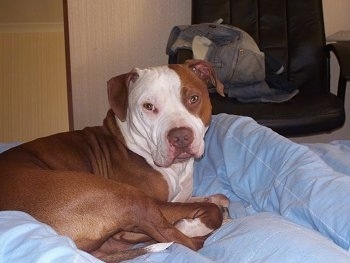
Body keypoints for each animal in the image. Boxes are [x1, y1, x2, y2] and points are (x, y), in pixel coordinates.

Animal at [0, 58, 227, 262]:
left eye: (194, 98)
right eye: (148, 106)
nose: (180, 137)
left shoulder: (180, 198)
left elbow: (209, 199)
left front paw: (216, 201)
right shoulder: (157, 203)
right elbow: (208, 211)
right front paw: (192, 223)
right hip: (128, 197)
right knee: (179, 239)